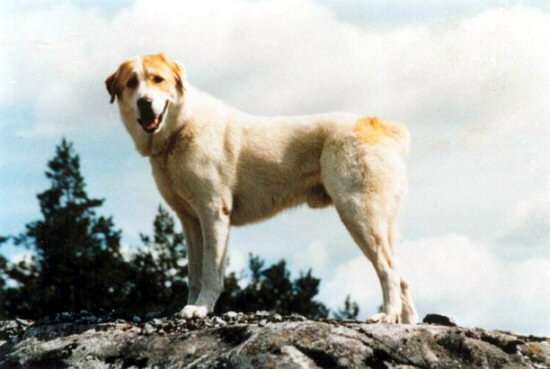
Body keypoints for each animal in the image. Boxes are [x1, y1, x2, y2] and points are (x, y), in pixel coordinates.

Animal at [106, 51, 418, 322]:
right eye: (132, 83)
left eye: (157, 79)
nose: (144, 102)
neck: (180, 129)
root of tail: (379, 124)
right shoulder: (189, 220)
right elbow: (193, 272)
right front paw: (189, 306)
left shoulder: (213, 213)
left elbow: (210, 270)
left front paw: (201, 308)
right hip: (381, 224)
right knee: (402, 277)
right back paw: (404, 323)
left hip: (359, 215)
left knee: (389, 271)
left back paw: (386, 316)